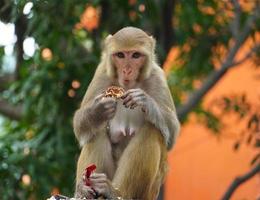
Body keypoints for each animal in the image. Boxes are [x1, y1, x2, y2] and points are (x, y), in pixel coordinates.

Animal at [72, 27, 180, 200]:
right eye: (121, 55)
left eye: (135, 55)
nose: (127, 70)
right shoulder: (102, 72)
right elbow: (80, 127)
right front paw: (98, 110)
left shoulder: (157, 77)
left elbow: (172, 132)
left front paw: (145, 101)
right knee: (96, 131)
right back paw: (86, 188)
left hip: (148, 193)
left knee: (153, 129)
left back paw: (114, 192)